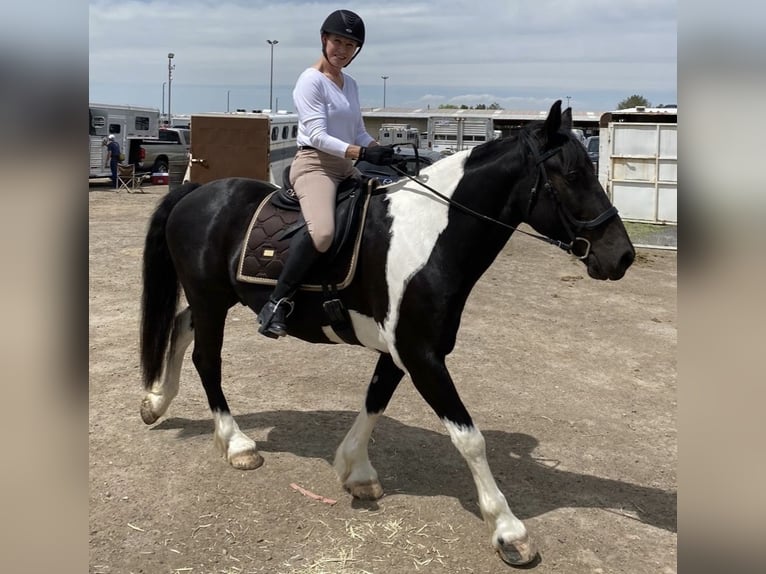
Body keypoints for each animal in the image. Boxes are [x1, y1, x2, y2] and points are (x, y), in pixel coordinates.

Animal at [140, 100, 636, 568]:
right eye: (572, 174)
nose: (623, 256)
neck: (430, 236)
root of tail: (198, 192)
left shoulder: (401, 351)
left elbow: (374, 401)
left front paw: (355, 471)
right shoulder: (422, 355)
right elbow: (470, 438)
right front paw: (509, 531)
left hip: (214, 301)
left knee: (180, 327)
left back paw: (155, 403)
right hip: (210, 299)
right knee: (207, 360)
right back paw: (237, 443)